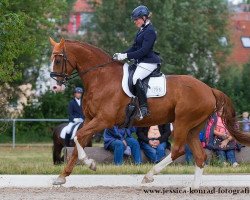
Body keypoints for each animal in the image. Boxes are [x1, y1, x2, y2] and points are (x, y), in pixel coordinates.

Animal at [49, 37, 250, 188]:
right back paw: (192, 188)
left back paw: (149, 175)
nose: (54, 86)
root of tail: (209, 89)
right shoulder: (90, 119)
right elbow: (78, 142)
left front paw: (90, 164)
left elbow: (78, 137)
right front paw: (62, 177)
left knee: (177, 150)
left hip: (182, 122)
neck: (101, 77)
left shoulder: (103, 120)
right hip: (193, 128)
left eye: (58, 60)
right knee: (200, 156)